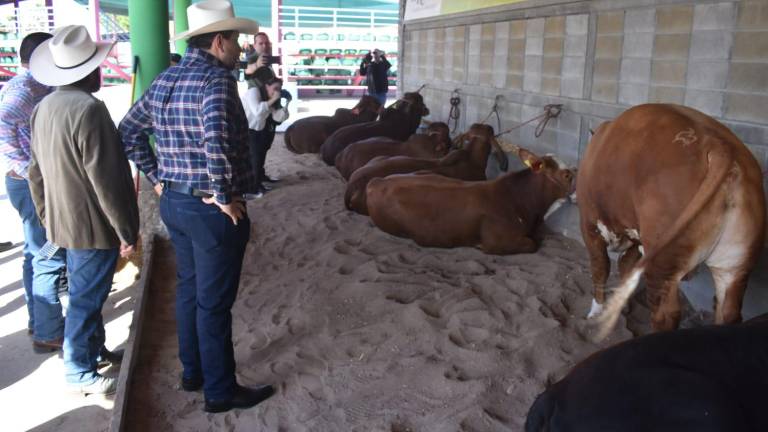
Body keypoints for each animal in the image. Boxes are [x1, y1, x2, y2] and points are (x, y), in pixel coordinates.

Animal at [580, 103, 764, 340]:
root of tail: (720, 146)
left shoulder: (589, 224)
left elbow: (600, 266)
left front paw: (596, 311)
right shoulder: (637, 239)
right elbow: (625, 266)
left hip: (663, 261)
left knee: (666, 314)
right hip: (735, 264)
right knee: (728, 311)